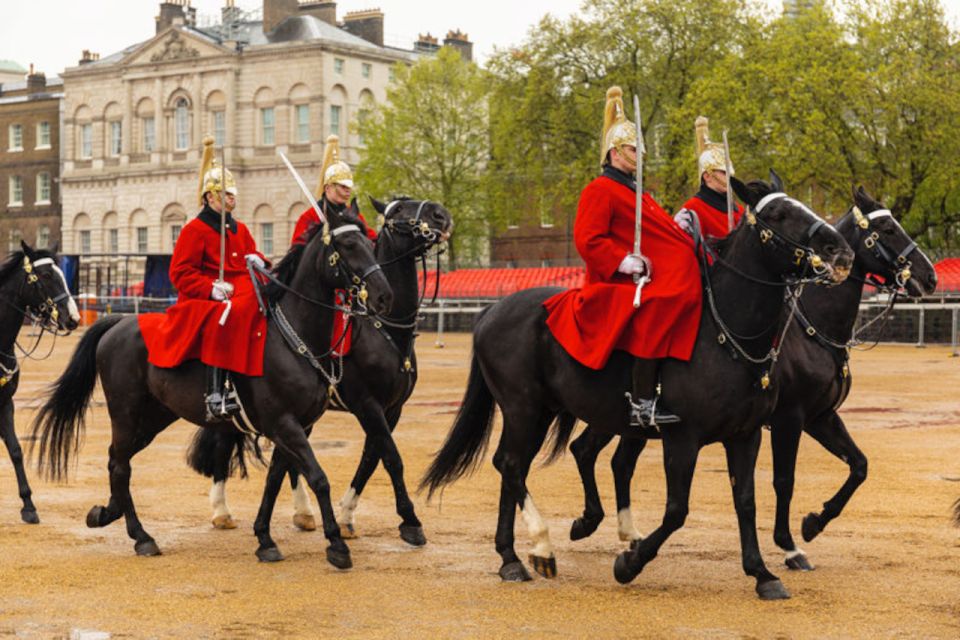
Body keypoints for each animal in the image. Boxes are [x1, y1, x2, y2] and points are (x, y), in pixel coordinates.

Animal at [0, 242, 79, 524]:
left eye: (62, 274)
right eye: (45, 275)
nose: (73, 318)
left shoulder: (5, 404)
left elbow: (15, 450)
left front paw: (28, 505)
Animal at [31, 206, 390, 568]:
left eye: (370, 242)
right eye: (348, 245)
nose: (383, 295)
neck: (293, 337)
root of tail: (118, 323)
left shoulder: (295, 426)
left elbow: (274, 481)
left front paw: (265, 538)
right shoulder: (285, 425)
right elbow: (318, 478)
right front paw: (336, 544)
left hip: (154, 417)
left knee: (117, 460)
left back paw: (107, 513)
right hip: (126, 413)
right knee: (120, 466)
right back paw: (141, 536)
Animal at [190, 196, 454, 552]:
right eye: (399, 209)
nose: (442, 215)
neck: (384, 328)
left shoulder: (391, 409)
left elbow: (372, 458)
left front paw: (346, 516)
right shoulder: (367, 404)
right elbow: (391, 458)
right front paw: (409, 522)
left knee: (287, 459)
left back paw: (302, 513)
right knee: (225, 443)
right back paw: (221, 510)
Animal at [424, 172, 852, 596]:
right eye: (778, 214)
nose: (840, 252)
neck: (727, 333)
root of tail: (493, 310)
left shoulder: (746, 435)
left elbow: (746, 501)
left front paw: (762, 572)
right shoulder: (685, 438)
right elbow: (677, 511)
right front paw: (629, 564)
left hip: (543, 411)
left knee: (517, 465)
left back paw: (512, 557)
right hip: (523, 408)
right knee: (513, 465)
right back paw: (542, 545)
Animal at [564, 185, 936, 568]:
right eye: (888, 229)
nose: (930, 277)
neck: (811, 328)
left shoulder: (819, 417)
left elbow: (859, 465)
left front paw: (814, 523)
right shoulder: (790, 418)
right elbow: (784, 480)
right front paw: (789, 545)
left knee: (612, 459)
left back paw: (622, 532)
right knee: (589, 451)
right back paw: (597, 525)